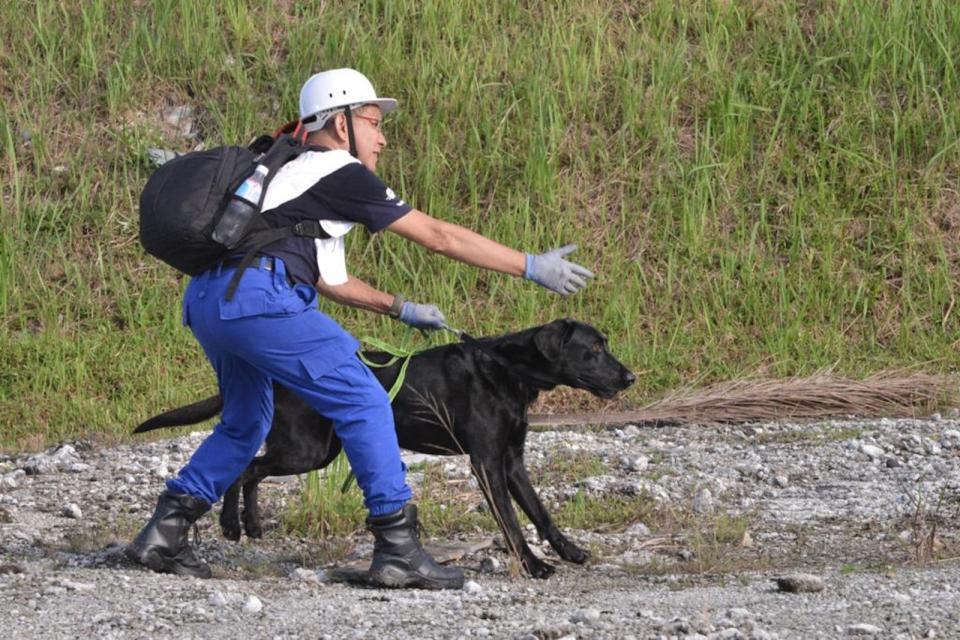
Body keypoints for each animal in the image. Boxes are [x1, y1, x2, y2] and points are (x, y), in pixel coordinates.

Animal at [133, 320, 632, 580]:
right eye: (594, 348)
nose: (630, 377)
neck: (509, 369)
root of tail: (282, 377)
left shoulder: (512, 461)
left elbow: (540, 513)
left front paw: (569, 551)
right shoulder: (487, 463)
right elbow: (511, 521)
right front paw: (533, 565)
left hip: (315, 450)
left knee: (250, 469)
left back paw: (248, 525)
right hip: (306, 449)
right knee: (245, 470)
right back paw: (233, 524)